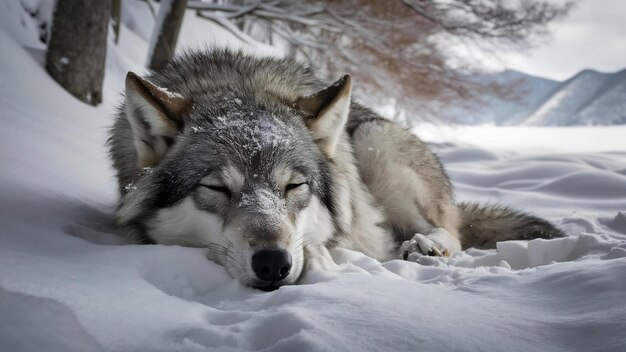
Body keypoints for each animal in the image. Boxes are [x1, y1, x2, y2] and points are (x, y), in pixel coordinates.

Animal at [107, 49, 560, 292]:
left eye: (294, 186)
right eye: (217, 189)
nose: (273, 263)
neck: (239, 86)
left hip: (376, 141)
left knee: (452, 230)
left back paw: (427, 246)